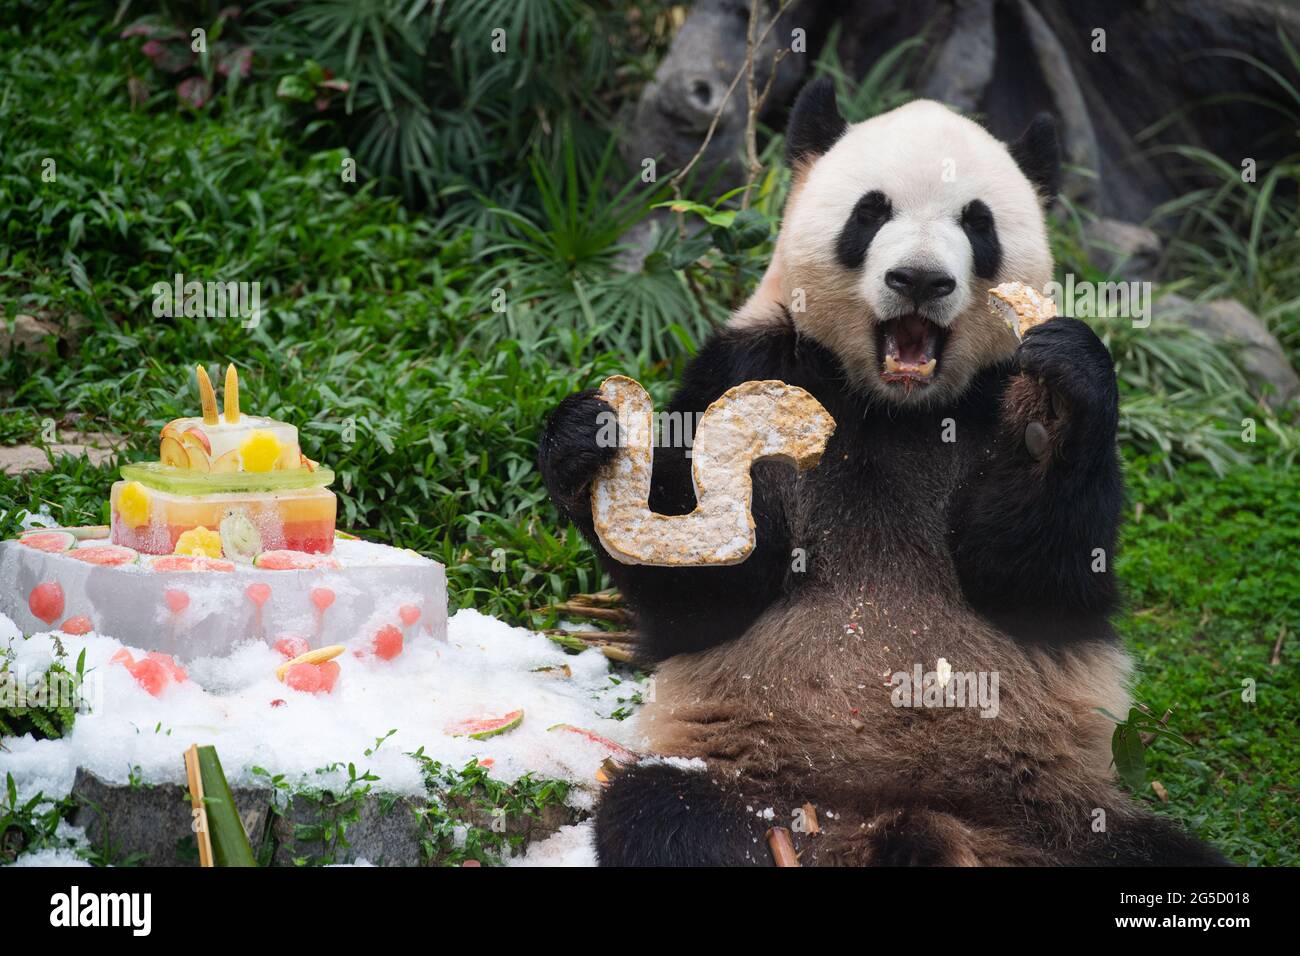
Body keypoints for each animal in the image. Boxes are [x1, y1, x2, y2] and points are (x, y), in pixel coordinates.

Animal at [535, 82, 1216, 868]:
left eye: (977, 222)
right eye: (871, 212)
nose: (919, 278)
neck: (892, 405)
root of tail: (904, 822)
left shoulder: (991, 398)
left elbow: (1040, 582)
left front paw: (1061, 401)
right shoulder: (749, 363)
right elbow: (707, 600)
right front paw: (585, 443)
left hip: (1059, 814)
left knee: (1156, 852)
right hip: (762, 785)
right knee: (664, 815)